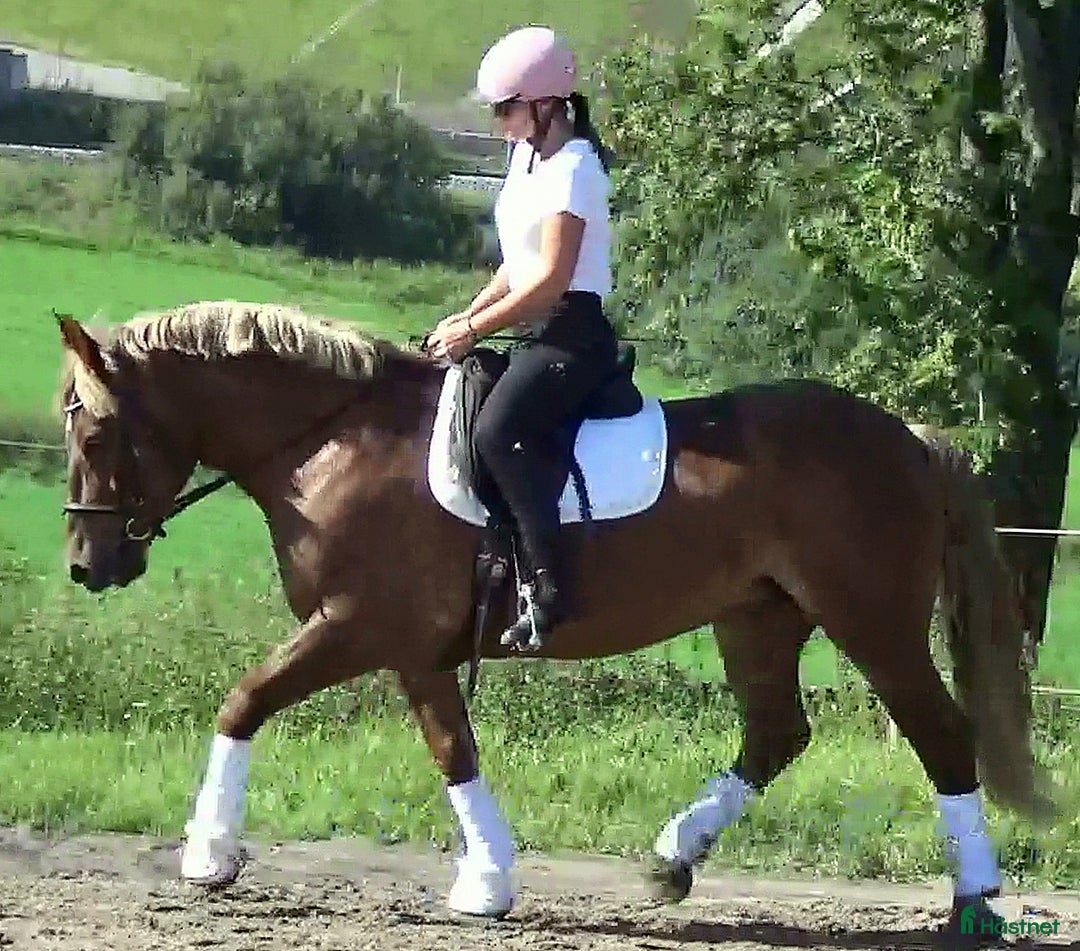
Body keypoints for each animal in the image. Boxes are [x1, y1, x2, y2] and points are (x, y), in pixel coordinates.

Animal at [56, 301, 1057, 935]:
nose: (87, 564)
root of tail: (909, 438)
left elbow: (243, 701)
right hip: (759, 619)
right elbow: (453, 749)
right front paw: (487, 881)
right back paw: (672, 858)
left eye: (96, 433)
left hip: (872, 621)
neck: (331, 442)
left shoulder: (356, 626)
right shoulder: (416, 650)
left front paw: (207, 857)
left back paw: (975, 900)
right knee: (777, 733)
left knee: (940, 734)